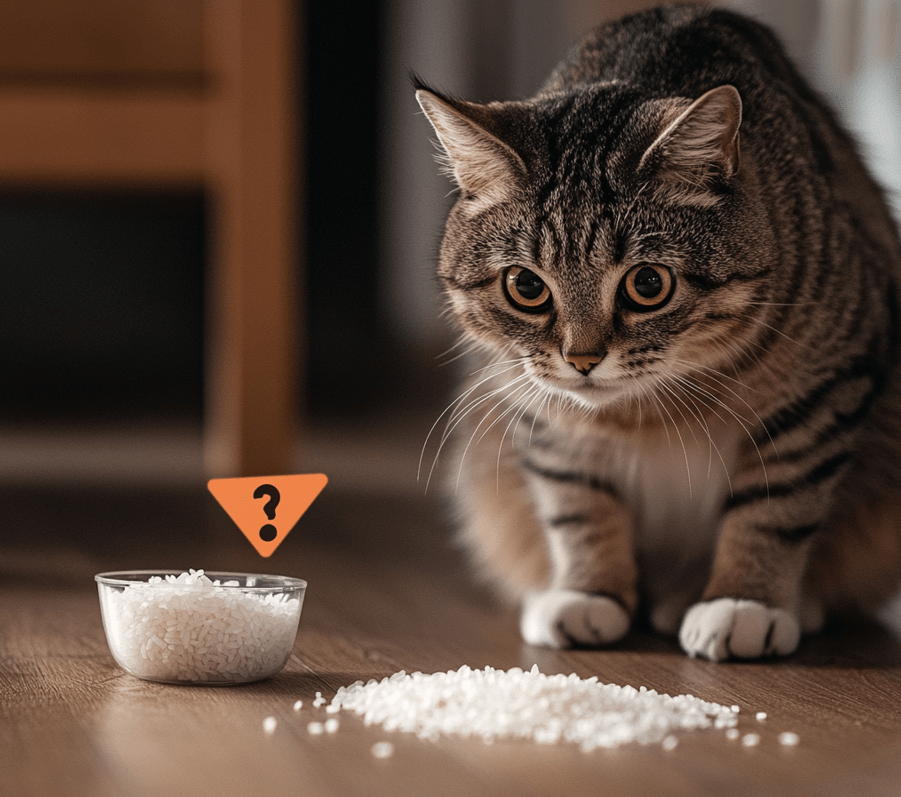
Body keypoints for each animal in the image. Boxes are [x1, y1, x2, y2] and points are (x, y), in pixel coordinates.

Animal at [416, 3, 901, 660]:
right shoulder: (536, 406)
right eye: (525, 286)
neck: (644, 413)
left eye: (648, 284)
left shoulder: (824, 389)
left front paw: (744, 601)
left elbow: (776, 505)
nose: (583, 359)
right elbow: (576, 502)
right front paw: (589, 593)